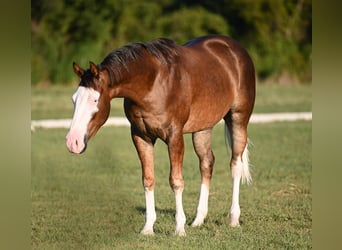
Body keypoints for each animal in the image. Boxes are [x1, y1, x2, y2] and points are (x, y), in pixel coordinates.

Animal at [65, 35, 255, 236]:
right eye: (74, 99)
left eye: (94, 99)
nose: (72, 142)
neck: (152, 84)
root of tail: (234, 48)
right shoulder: (141, 136)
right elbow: (148, 179)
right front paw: (148, 227)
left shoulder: (174, 137)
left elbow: (176, 181)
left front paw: (179, 228)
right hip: (203, 127)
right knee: (207, 163)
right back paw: (198, 220)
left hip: (238, 119)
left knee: (235, 165)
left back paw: (233, 219)